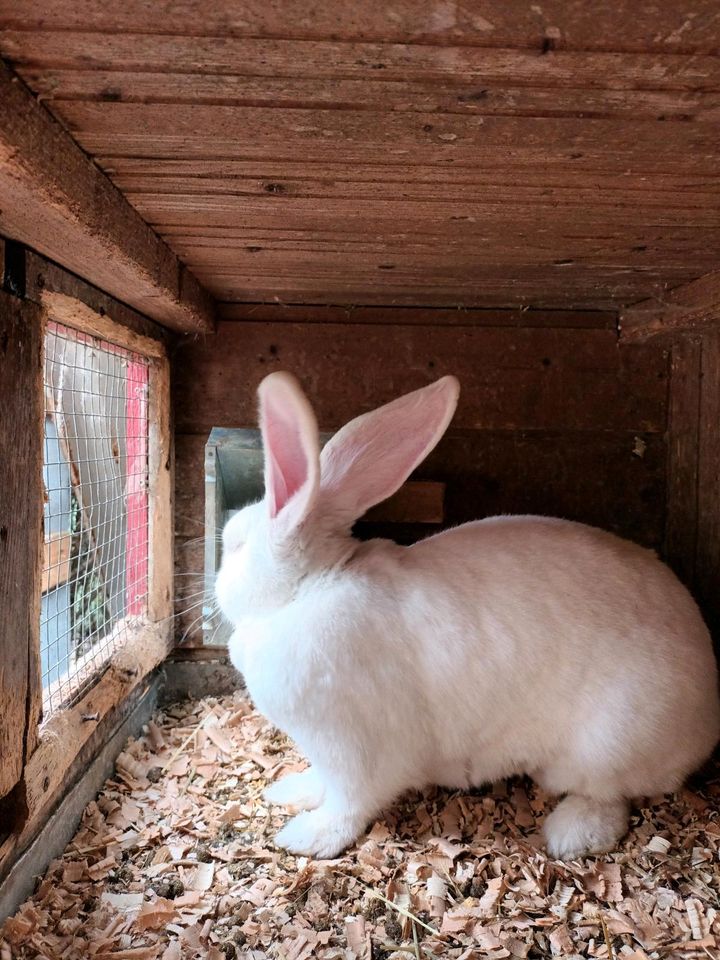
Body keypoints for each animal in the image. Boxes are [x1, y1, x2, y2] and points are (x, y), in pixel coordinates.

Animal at [215, 372, 720, 860]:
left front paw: (307, 838)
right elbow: (319, 782)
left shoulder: (354, 750)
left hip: (602, 749)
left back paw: (571, 835)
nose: (215, 585)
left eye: (233, 545)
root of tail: (707, 720)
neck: (309, 588)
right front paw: (290, 792)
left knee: (609, 797)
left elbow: (349, 802)